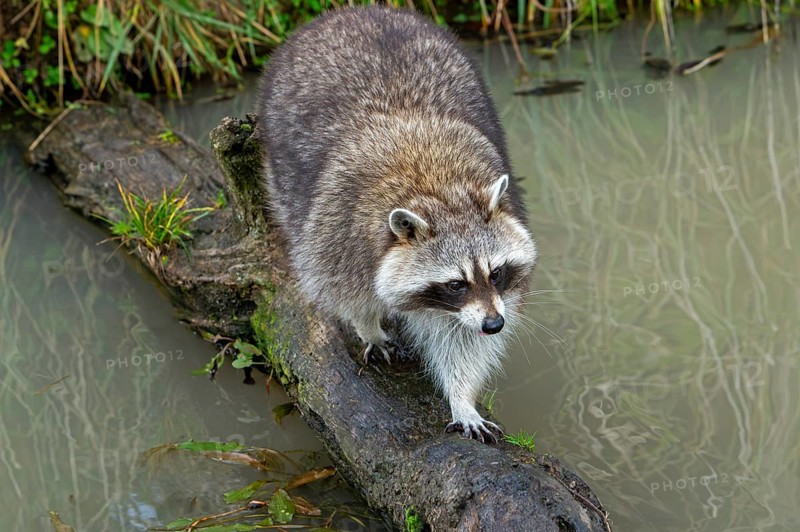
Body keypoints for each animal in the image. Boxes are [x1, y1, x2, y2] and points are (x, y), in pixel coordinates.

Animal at [256, 6, 538, 442]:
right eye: (455, 284)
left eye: (496, 273)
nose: (494, 324)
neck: (438, 188)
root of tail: (353, 11)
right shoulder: (339, 227)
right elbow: (341, 289)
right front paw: (368, 325)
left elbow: (463, 341)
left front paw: (462, 396)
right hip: (278, 136)